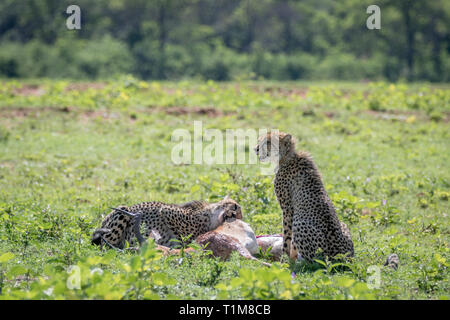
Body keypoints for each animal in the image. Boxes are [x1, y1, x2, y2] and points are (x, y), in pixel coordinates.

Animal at [255, 131, 354, 262]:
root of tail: (341, 256)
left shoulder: (288, 209)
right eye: (259, 140)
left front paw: (285, 259)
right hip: (342, 224)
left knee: (311, 261)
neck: (286, 157)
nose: (256, 149)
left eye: (268, 142)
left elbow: (287, 236)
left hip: (299, 222)